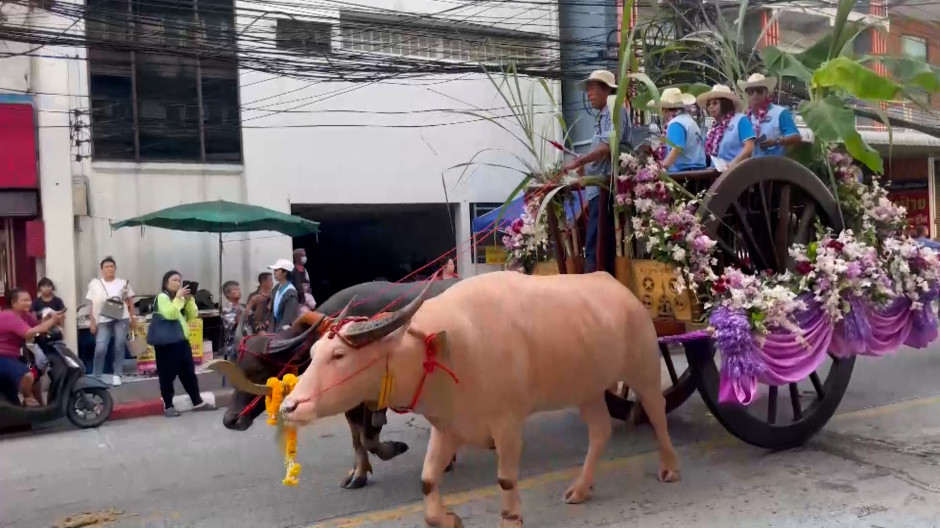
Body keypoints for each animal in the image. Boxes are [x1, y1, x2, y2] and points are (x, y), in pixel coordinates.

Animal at [278, 272, 676, 528]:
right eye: (312, 353)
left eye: (339, 356)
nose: (288, 407)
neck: (449, 347)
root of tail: (623, 291)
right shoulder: (449, 427)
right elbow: (426, 480)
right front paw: (448, 518)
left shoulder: (508, 424)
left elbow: (505, 479)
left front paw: (511, 520)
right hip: (588, 390)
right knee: (599, 431)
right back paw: (580, 489)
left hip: (644, 368)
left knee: (657, 413)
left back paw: (669, 467)